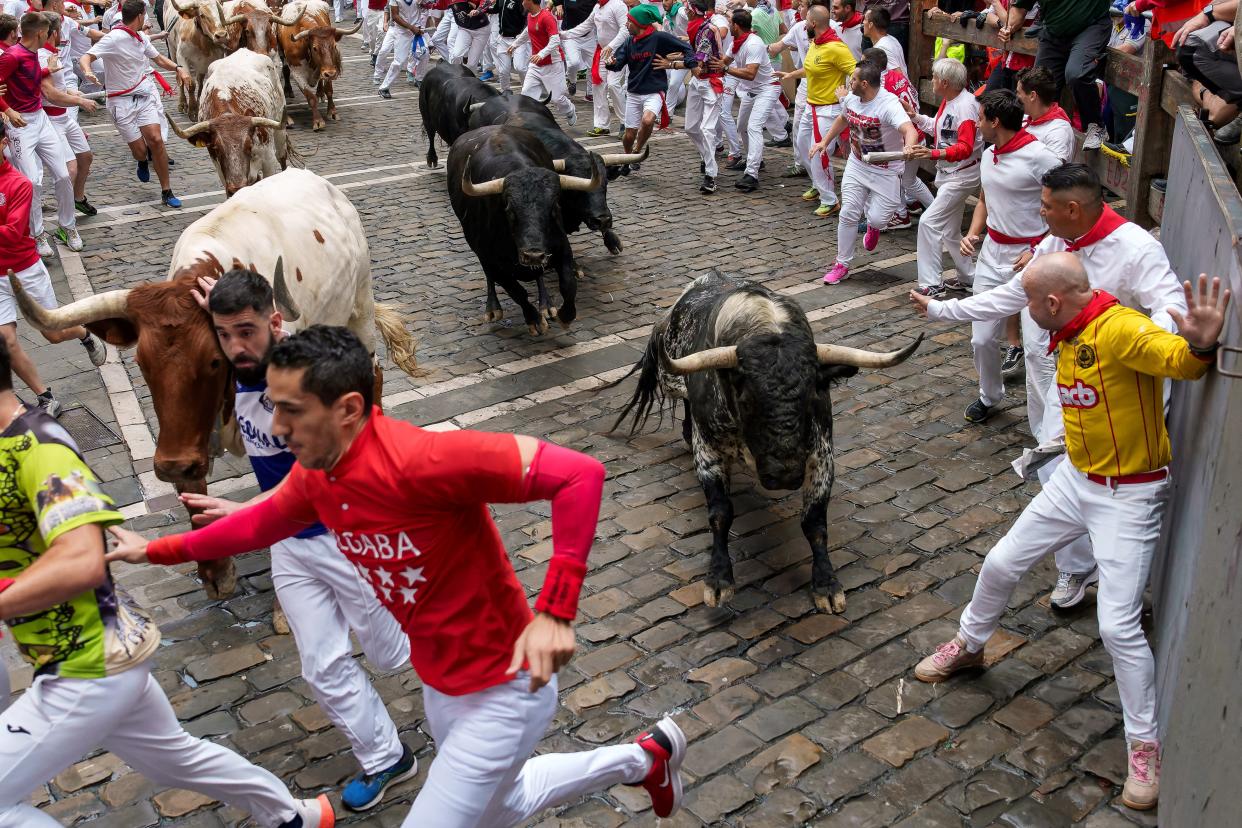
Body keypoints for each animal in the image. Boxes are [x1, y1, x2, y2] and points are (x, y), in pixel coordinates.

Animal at [449, 125, 603, 337]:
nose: (533, 255)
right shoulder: (491, 261)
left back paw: (546, 305)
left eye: (554, 206)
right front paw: (534, 320)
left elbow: (568, 284)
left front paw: (564, 316)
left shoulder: (561, 247)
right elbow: (517, 292)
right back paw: (493, 308)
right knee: (490, 278)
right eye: (509, 209)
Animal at [613, 271, 924, 615]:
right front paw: (718, 580)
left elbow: (814, 522)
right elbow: (720, 512)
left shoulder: (821, 454)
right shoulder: (708, 451)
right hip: (672, 383)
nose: (784, 474)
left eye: (813, 393)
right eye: (748, 397)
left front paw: (826, 583)